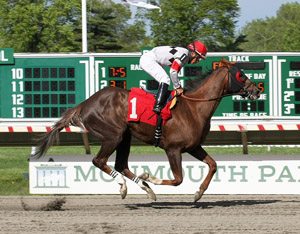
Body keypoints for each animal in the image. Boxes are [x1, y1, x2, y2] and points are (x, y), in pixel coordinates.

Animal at [34, 58, 260, 201]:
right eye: (240, 75)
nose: (256, 90)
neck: (193, 108)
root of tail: (86, 103)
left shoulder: (193, 147)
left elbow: (213, 165)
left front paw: (199, 193)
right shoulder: (173, 149)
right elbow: (178, 179)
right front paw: (151, 177)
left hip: (125, 137)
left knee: (121, 164)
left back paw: (145, 188)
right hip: (113, 135)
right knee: (99, 161)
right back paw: (126, 186)